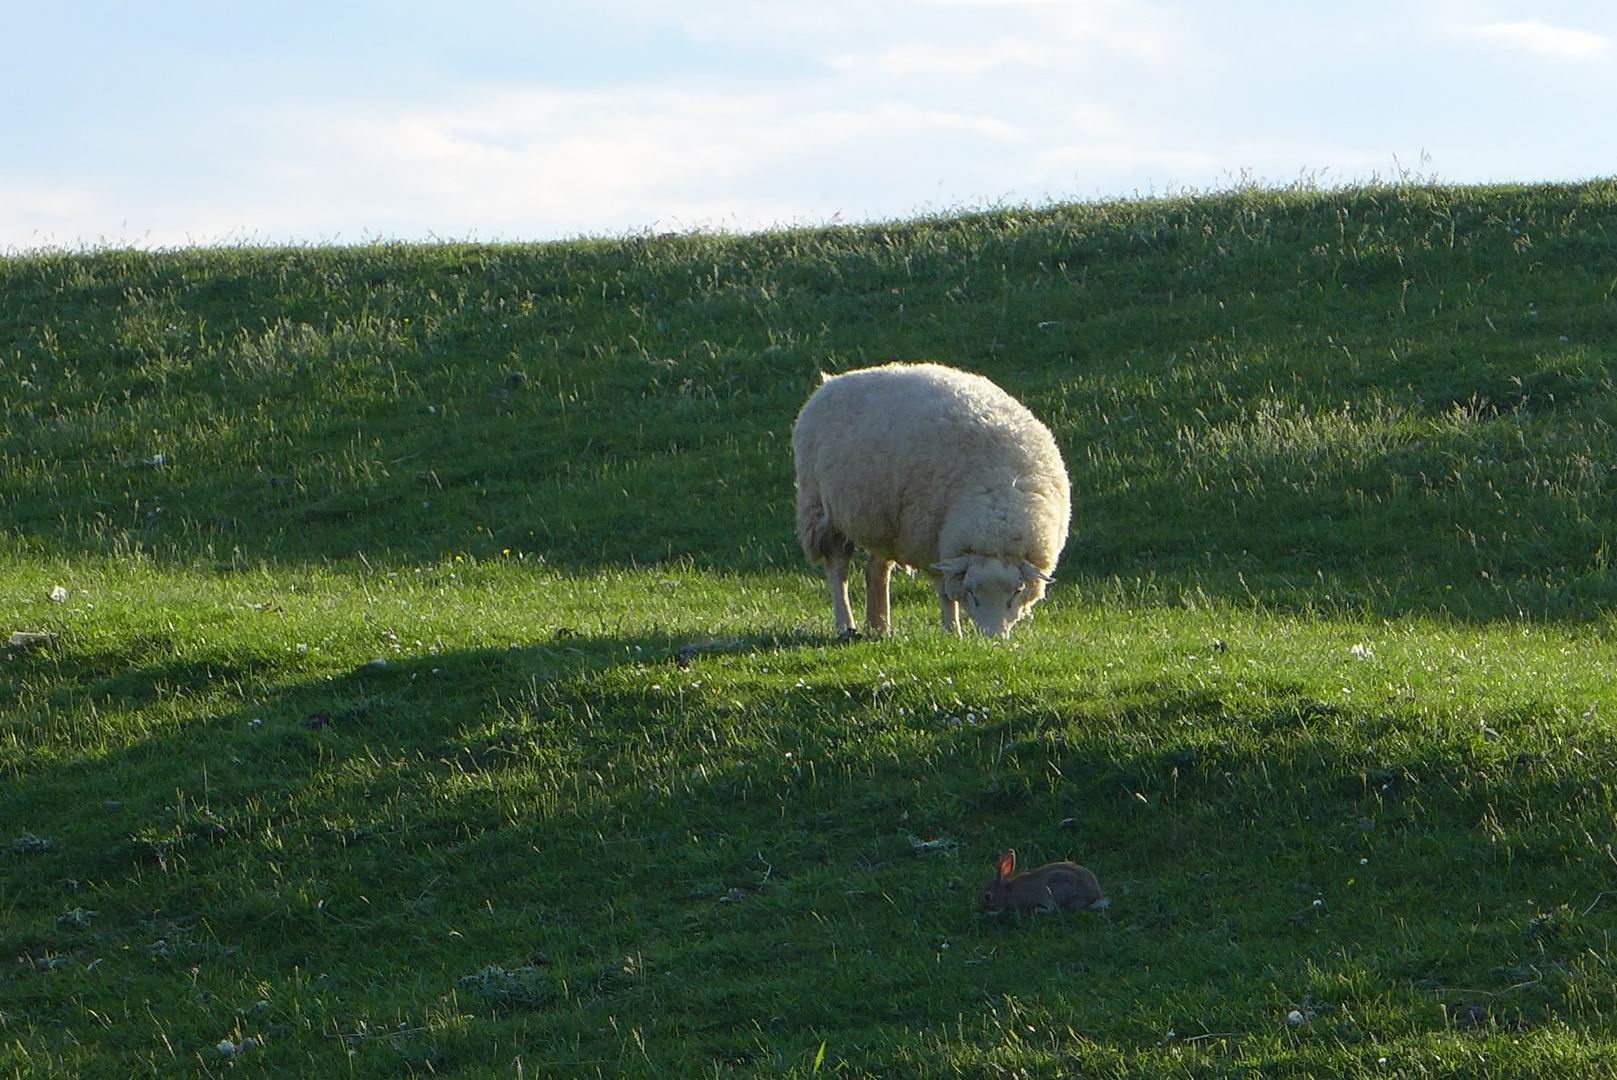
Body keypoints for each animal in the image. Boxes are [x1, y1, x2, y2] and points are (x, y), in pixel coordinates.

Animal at [789, 358, 1067, 637]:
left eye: (1017, 592)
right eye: (971, 591)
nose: (993, 638)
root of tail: (832, 381)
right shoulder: (930, 542)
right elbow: (945, 593)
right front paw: (953, 632)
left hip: (886, 519)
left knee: (875, 569)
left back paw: (880, 626)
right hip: (821, 508)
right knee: (838, 568)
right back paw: (846, 624)